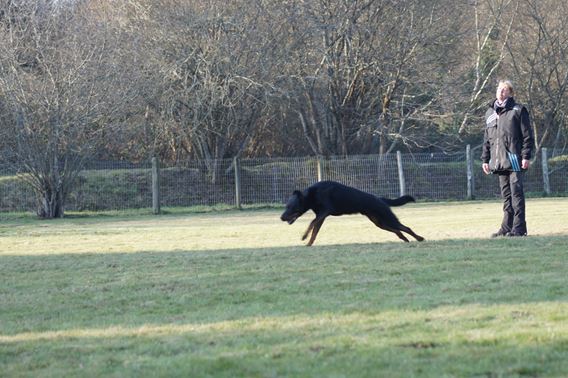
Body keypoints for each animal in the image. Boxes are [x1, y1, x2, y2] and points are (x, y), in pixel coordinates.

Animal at [282, 182, 424, 247]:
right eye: (286, 206)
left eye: (290, 207)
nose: (281, 217)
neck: (312, 194)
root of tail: (380, 199)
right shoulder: (321, 217)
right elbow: (314, 231)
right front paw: (308, 243)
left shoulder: (325, 211)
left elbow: (311, 223)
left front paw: (303, 236)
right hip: (380, 223)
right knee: (398, 231)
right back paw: (406, 240)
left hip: (388, 218)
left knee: (406, 228)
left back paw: (419, 238)